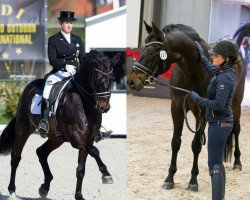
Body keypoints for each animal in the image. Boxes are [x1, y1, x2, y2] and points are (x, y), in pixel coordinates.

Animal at [0, 50, 120, 200]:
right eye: (97, 80)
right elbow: (95, 151)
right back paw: (12, 191)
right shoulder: (76, 139)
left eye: (112, 79)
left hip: (57, 138)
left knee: (41, 152)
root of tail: (29, 87)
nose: (105, 108)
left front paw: (79, 196)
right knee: (16, 156)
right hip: (24, 128)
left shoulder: (88, 139)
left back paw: (45, 187)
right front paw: (106, 175)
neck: (84, 103)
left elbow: (81, 169)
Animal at [127, 21, 244, 191]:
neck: (191, 72)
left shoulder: (202, 112)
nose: (131, 81)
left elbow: (196, 145)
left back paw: (237, 162)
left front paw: (193, 181)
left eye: (153, 51)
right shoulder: (176, 108)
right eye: (141, 48)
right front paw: (169, 178)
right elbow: (175, 142)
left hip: (236, 105)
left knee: (235, 130)